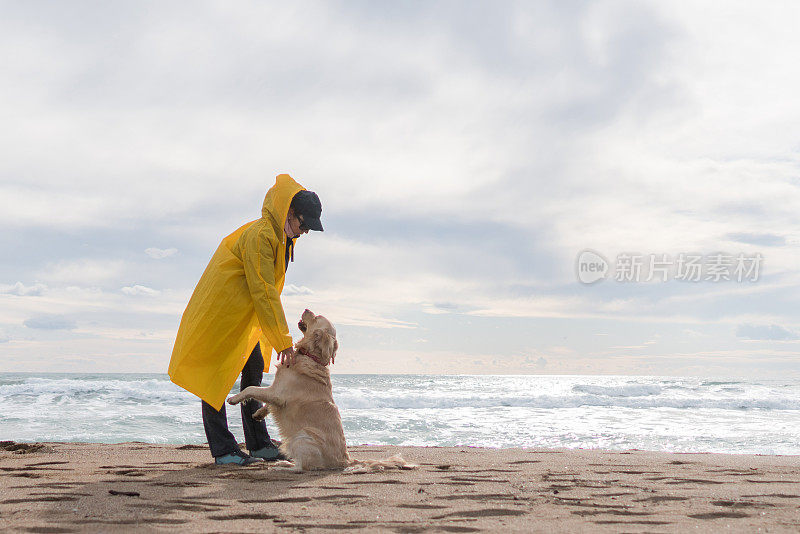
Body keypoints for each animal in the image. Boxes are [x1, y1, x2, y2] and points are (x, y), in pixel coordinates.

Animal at [225, 310, 412, 474]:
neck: (310, 356)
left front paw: (234, 398)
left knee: (303, 467)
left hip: (302, 436)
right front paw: (259, 413)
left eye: (316, 317)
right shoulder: (276, 394)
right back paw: (283, 463)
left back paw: (281, 467)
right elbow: (266, 403)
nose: (307, 309)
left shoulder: (277, 392)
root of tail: (345, 461)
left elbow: (251, 388)